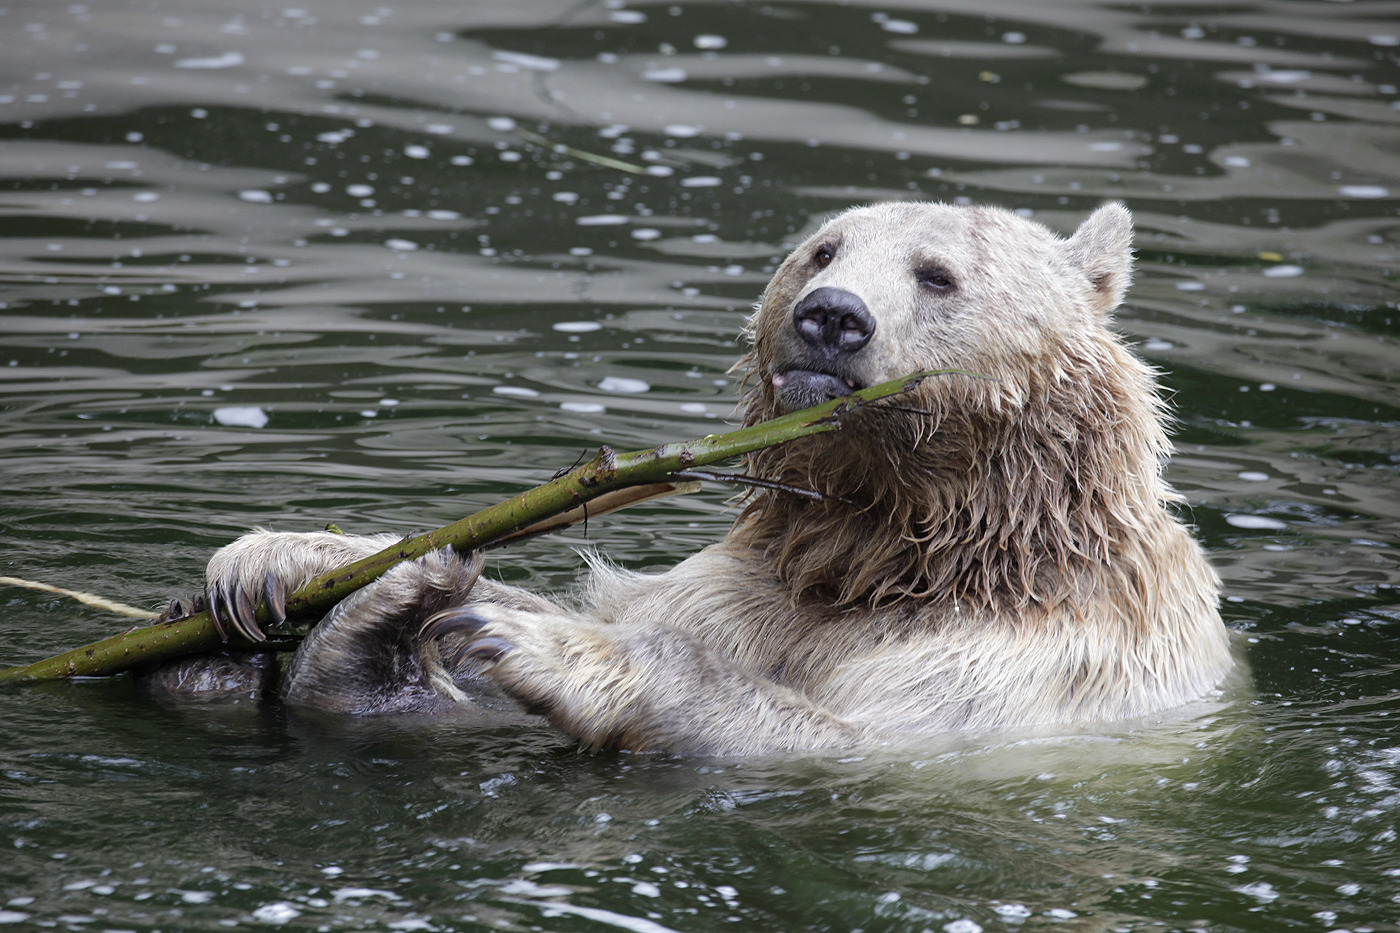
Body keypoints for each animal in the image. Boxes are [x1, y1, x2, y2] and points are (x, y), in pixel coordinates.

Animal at [177, 200, 1237, 750]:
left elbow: (834, 731)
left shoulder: (1043, 661)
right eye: (822, 248)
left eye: (938, 274)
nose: (832, 316)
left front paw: (555, 649)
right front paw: (294, 562)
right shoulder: (750, 587)